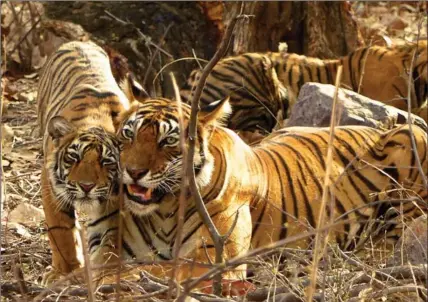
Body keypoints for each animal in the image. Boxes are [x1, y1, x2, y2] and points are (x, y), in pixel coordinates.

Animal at [83, 95, 424, 292]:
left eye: (167, 141)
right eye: (129, 135)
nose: (133, 171)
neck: (166, 209)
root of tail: (376, 128)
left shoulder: (215, 260)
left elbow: (156, 268)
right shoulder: (114, 247)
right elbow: (111, 264)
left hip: (410, 138)